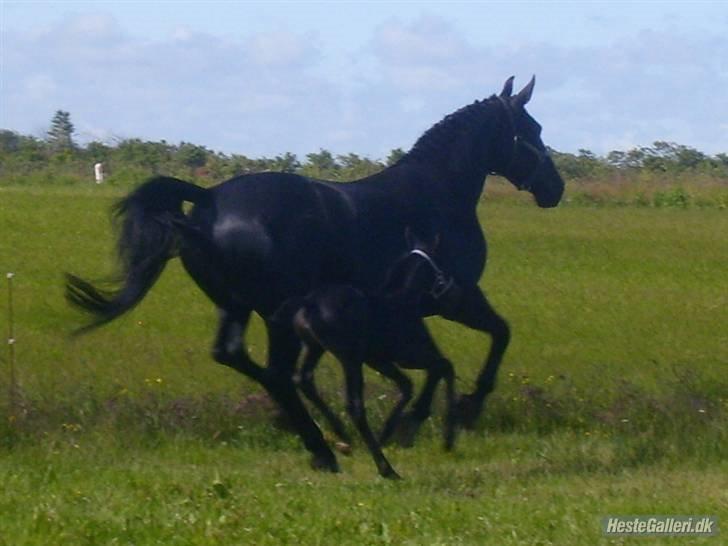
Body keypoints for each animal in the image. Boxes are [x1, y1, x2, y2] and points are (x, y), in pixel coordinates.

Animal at [68, 77, 564, 472]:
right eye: (532, 130)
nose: (555, 189)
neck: (436, 195)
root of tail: (208, 200)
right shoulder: (454, 297)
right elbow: (496, 335)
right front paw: (456, 413)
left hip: (238, 307)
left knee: (240, 359)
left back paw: (321, 437)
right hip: (275, 315)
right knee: (277, 373)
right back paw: (326, 445)